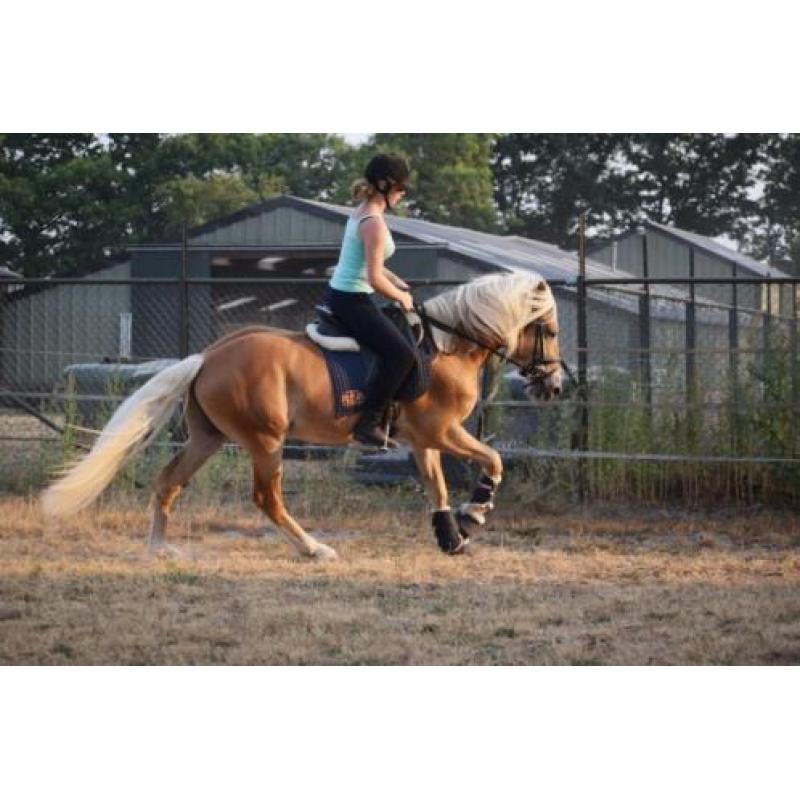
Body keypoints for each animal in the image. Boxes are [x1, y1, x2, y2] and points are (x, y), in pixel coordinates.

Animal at [39, 272, 564, 560]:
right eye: (553, 331)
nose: (555, 387)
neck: (448, 346)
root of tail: (208, 356)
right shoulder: (442, 430)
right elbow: (494, 460)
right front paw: (473, 515)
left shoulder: (424, 438)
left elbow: (436, 488)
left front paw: (452, 538)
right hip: (265, 441)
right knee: (267, 499)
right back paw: (314, 549)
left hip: (208, 438)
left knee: (169, 483)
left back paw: (159, 550)